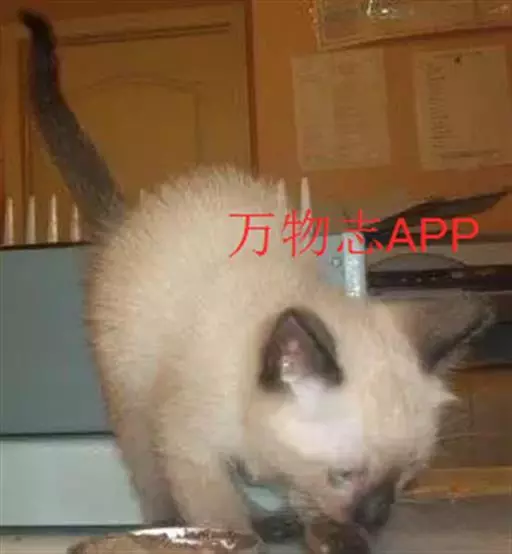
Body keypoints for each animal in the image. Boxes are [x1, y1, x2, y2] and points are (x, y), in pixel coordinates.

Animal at [20, 9, 494, 538]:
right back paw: (168, 521)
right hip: (133, 397)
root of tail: (129, 216)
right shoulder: (190, 448)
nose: (375, 519)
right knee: (147, 469)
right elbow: (220, 514)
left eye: (408, 477)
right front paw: (240, 534)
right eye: (343, 474)